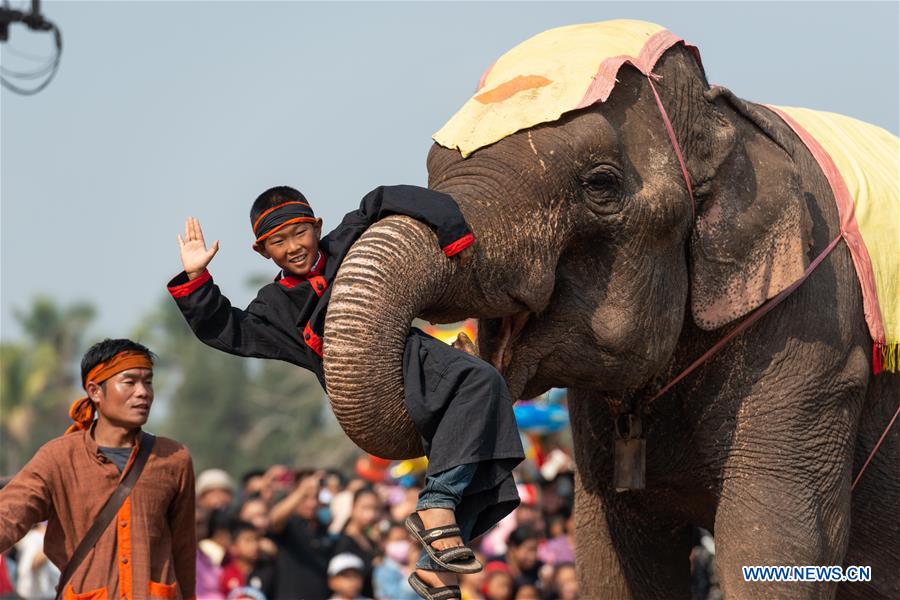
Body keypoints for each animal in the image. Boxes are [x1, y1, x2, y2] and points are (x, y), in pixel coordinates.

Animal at [320, 21, 896, 596]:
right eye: (432, 171)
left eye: (600, 183)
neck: (727, 121)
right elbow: (611, 553)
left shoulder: (814, 339)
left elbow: (773, 542)